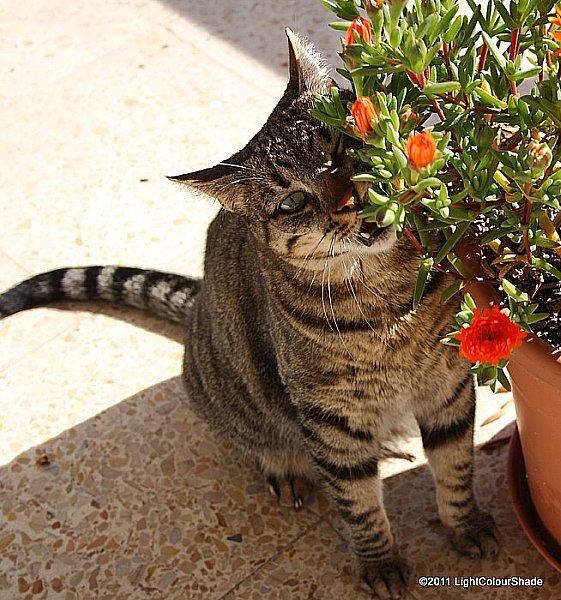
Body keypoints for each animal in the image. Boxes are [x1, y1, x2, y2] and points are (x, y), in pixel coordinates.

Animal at [0, 30, 498, 600]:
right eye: (293, 202)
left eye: (345, 147)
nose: (353, 201)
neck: (387, 298)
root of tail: (197, 306)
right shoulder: (330, 417)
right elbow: (359, 504)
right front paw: (379, 563)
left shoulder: (450, 383)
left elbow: (456, 466)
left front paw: (466, 526)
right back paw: (289, 467)